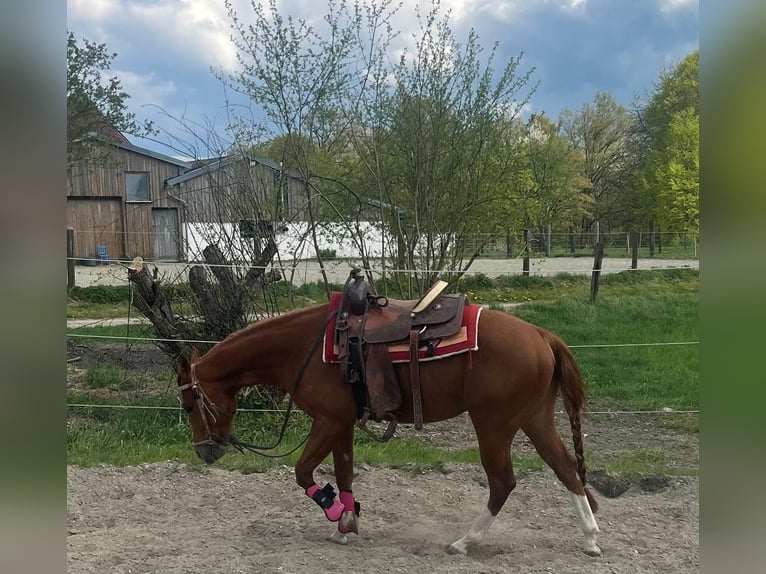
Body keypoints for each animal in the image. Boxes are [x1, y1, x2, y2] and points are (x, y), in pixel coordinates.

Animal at [176, 299, 602, 556]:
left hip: (493, 427)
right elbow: (344, 472)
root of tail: (540, 335)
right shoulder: (341, 424)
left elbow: (302, 472)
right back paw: (591, 538)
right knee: (567, 469)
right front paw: (346, 522)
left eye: (189, 403)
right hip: (535, 419)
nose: (203, 450)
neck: (304, 348)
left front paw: (335, 512)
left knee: (503, 482)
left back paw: (465, 541)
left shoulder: (328, 421)